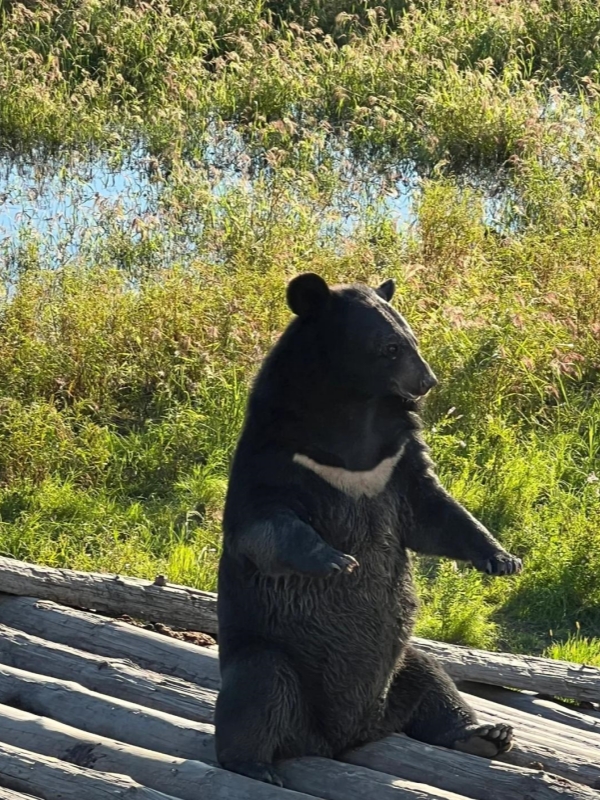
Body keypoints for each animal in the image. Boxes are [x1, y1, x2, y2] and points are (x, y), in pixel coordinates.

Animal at [215, 273, 522, 787]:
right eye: (390, 347)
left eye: (413, 337)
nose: (427, 382)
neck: (350, 412)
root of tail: (341, 736)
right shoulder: (280, 455)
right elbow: (267, 525)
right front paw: (337, 560)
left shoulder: (393, 461)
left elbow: (435, 512)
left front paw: (503, 558)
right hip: (276, 655)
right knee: (259, 687)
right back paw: (253, 763)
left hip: (399, 666)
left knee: (434, 681)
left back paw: (486, 734)